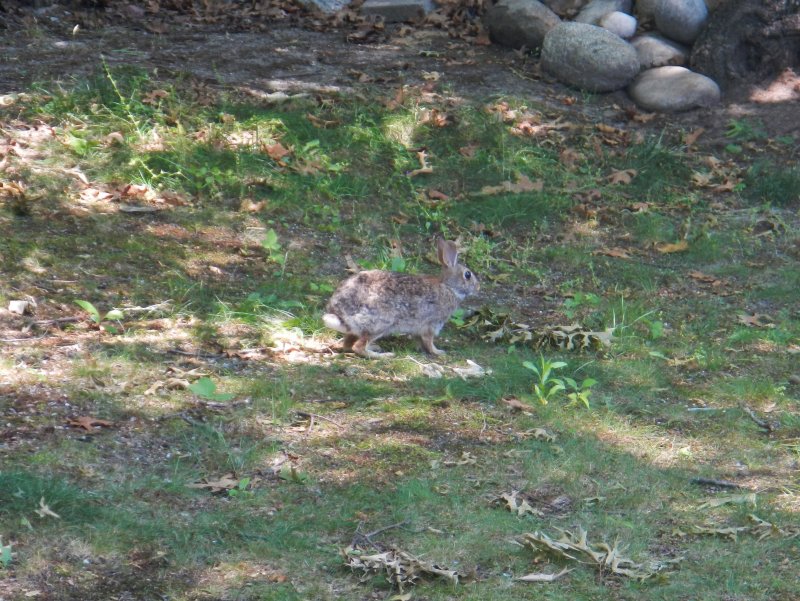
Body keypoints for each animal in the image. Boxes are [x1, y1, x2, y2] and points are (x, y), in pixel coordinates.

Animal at [322, 237, 478, 358]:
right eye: (468, 275)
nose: (478, 287)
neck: (449, 287)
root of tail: (338, 313)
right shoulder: (431, 324)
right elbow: (429, 342)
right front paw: (439, 352)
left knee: (348, 344)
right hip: (382, 323)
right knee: (358, 347)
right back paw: (383, 356)